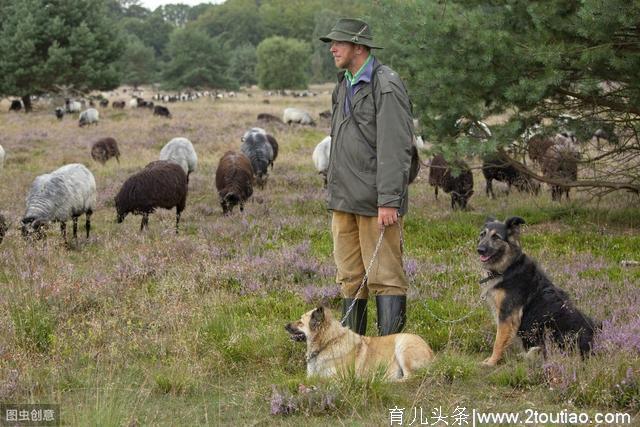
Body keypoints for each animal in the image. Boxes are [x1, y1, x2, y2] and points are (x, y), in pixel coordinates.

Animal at [286, 308, 432, 382]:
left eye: (300, 322)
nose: (285, 326)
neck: (329, 342)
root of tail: (432, 354)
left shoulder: (339, 377)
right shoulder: (310, 376)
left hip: (402, 346)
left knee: (409, 377)